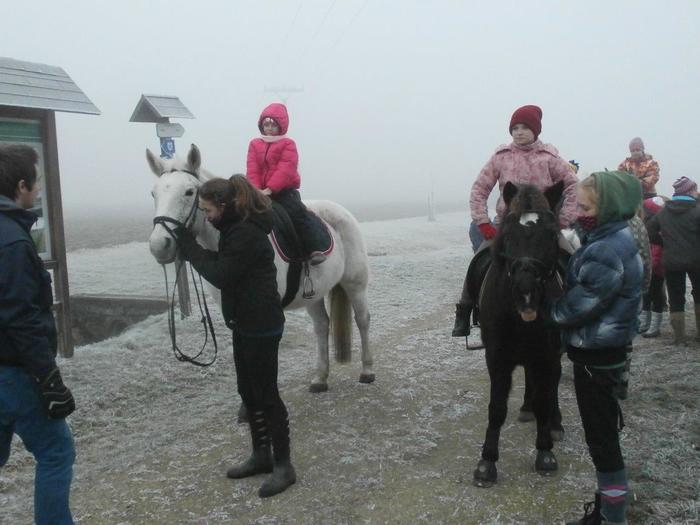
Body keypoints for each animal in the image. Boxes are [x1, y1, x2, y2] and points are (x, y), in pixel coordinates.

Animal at [146, 144, 374, 394]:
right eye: (154, 193)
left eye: (188, 192)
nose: (159, 246)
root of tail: (341, 210)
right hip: (314, 292)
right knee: (322, 326)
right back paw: (320, 378)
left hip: (355, 284)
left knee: (363, 319)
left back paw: (367, 371)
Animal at [473, 181, 564, 488]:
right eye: (508, 234)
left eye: (551, 233)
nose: (526, 292)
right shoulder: (497, 358)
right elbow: (497, 407)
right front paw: (487, 462)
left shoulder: (546, 355)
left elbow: (544, 400)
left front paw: (545, 452)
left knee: (552, 386)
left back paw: (556, 423)